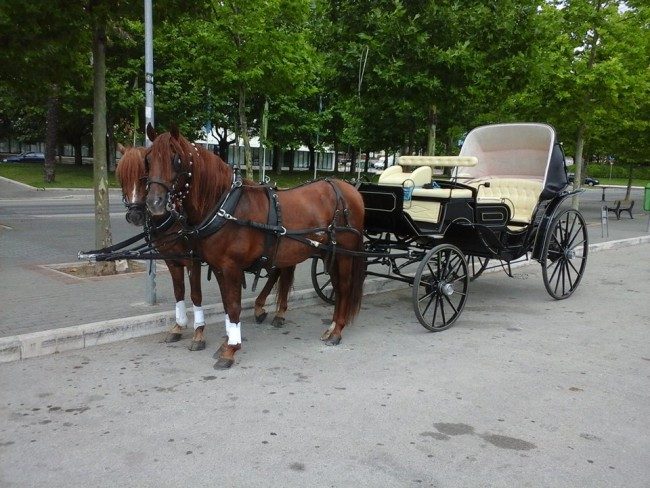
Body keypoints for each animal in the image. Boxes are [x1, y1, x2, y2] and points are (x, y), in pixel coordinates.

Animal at [116, 144, 296, 350]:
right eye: (120, 176)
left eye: (143, 176)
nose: (134, 215)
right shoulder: (172, 260)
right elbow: (179, 291)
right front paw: (179, 326)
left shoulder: (192, 259)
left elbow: (196, 294)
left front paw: (199, 332)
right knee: (278, 272)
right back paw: (262, 308)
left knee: (283, 272)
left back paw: (278, 312)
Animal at [144, 125, 366, 369]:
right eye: (148, 159)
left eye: (176, 160)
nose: (154, 203)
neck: (225, 208)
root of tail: (350, 190)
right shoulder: (218, 268)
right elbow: (227, 305)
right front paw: (227, 342)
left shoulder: (231, 267)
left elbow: (234, 306)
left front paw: (230, 350)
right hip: (329, 252)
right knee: (334, 285)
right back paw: (331, 327)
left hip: (345, 253)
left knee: (344, 287)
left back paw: (337, 331)